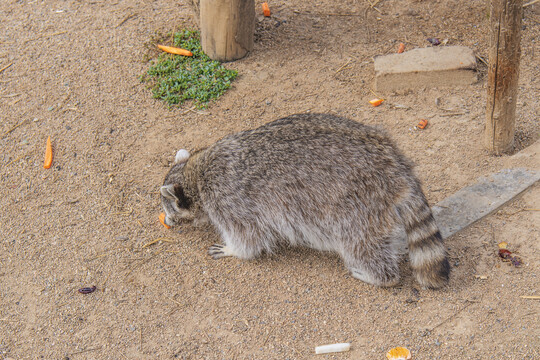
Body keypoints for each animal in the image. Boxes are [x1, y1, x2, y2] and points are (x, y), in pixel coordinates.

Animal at [161, 114, 452, 288]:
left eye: (168, 207)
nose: (167, 220)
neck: (196, 172)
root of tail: (394, 162)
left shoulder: (228, 198)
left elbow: (248, 236)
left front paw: (233, 250)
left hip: (357, 203)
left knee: (358, 242)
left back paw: (379, 276)